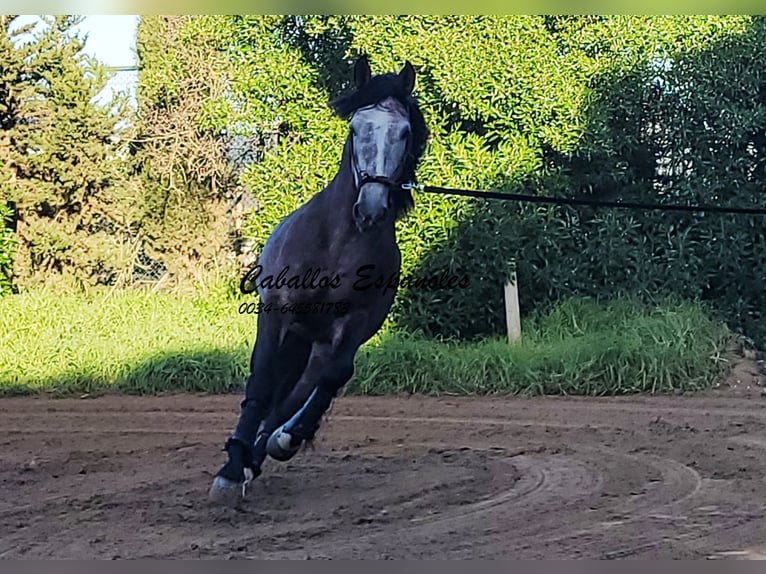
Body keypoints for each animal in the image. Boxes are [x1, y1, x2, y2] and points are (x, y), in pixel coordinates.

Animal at [207, 56, 428, 506]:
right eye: (357, 128)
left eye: (404, 132)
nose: (371, 208)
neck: (337, 244)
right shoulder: (276, 315)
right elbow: (260, 382)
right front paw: (229, 472)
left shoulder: (355, 325)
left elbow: (334, 377)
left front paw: (285, 441)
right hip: (295, 335)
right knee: (272, 389)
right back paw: (244, 460)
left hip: (315, 344)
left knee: (296, 393)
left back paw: (267, 448)